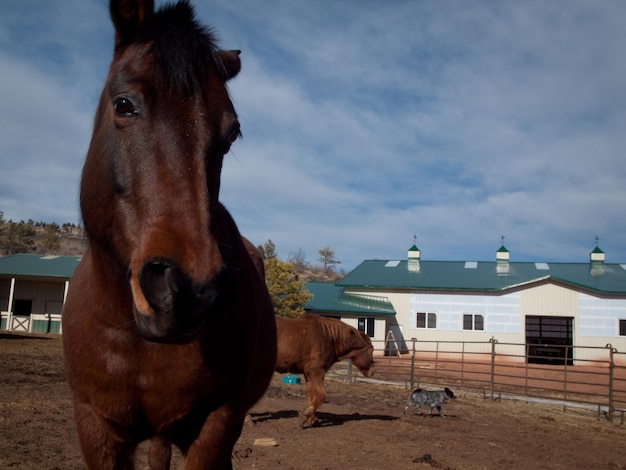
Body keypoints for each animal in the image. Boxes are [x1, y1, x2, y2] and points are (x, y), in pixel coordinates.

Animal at [62, 1, 274, 468]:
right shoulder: (94, 426)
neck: (135, 339)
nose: (187, 292)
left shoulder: (216, 427)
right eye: (124, 104)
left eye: (231, 134)